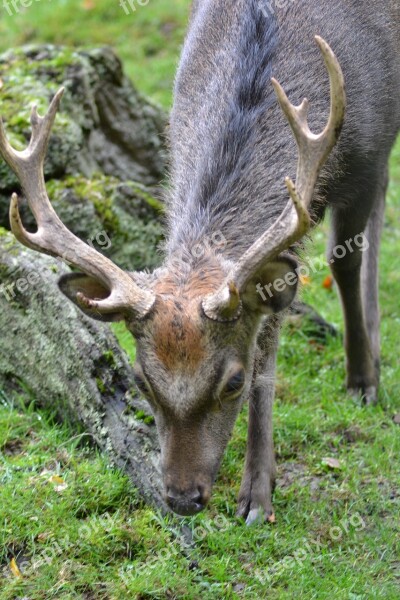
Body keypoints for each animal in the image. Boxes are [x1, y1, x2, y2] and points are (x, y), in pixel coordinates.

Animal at [0, 0, 400, 524]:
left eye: (233, 382)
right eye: (141, 381)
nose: (182, 498)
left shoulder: (368, 150)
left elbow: (345, 265)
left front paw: (361, 383)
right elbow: (272, 331)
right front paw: (259, 488)